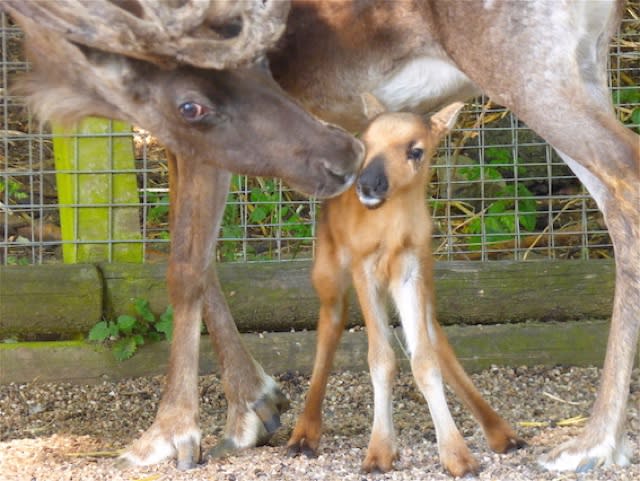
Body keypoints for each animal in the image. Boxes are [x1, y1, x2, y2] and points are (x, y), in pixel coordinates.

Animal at [288, 103, 524, 474]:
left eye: (416, 150)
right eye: (367, 142)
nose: (368, 183)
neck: (390, 232)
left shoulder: (410, 269)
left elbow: (424, 359)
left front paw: (458, 455)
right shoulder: (364, 267)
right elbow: (380, 357)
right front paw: (379, 453)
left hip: (425, 278)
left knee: (436, 335)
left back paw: (502, 433)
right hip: (327, 271)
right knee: (330, 324)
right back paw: (303, 436)